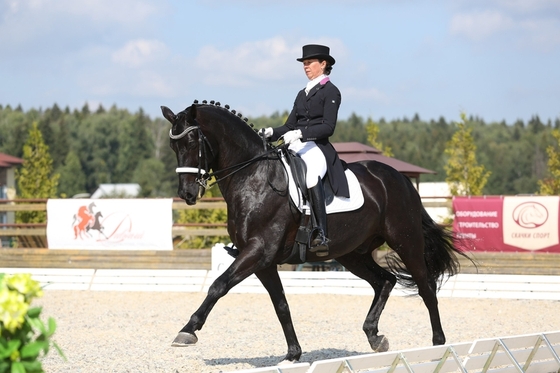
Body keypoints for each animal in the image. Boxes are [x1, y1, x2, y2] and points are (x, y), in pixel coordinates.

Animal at [161, 100, 464, 362]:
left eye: (192, 142)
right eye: (173, 146)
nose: (187, 194)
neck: (254, 178)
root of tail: (400, 178)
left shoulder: (258, 251)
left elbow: (218, 285)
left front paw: (187, 331)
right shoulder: (264, 261)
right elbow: (281, 305)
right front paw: (293, 354)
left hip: (405, 241)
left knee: (426, 287)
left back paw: (438, 344)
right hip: (352, 254)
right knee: (385, 281)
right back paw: (375, 337)